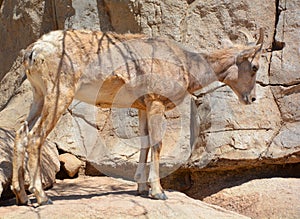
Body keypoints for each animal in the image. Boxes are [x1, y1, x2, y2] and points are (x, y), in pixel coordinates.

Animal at [12, 27, 262, 205]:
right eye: (255, 67)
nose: (251, 98)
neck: (187, 68)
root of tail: (33, 52)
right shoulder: (156, 101)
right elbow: (158, 143)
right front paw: (158, 192)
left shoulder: (142, 106)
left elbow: (144, 141)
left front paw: (141, 187)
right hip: (59, 93)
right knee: (35, 137)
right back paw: (42, 197)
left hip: (39, 95)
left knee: (21, 132)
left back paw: (21, 196)